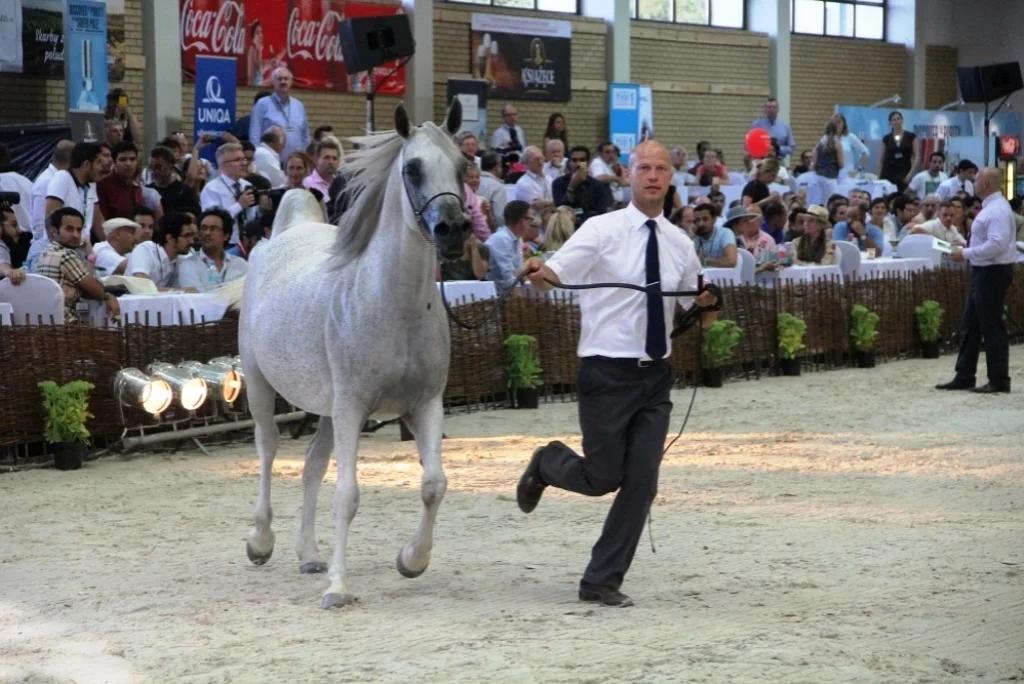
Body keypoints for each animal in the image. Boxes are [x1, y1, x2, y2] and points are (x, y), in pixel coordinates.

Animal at [234, 102, 468, 610]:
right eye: (412, 168)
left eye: (462, 165)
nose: (453, 230)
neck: (391, 304)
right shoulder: (352, 407)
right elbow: (347, 495)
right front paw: (338, 589)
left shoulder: (425, 404)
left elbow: (433, 485)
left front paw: (411, 561)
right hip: (263, 386)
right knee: (268, 450)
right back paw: (260, 543)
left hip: (326, 408)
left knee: (310, 466)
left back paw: (309, 555)